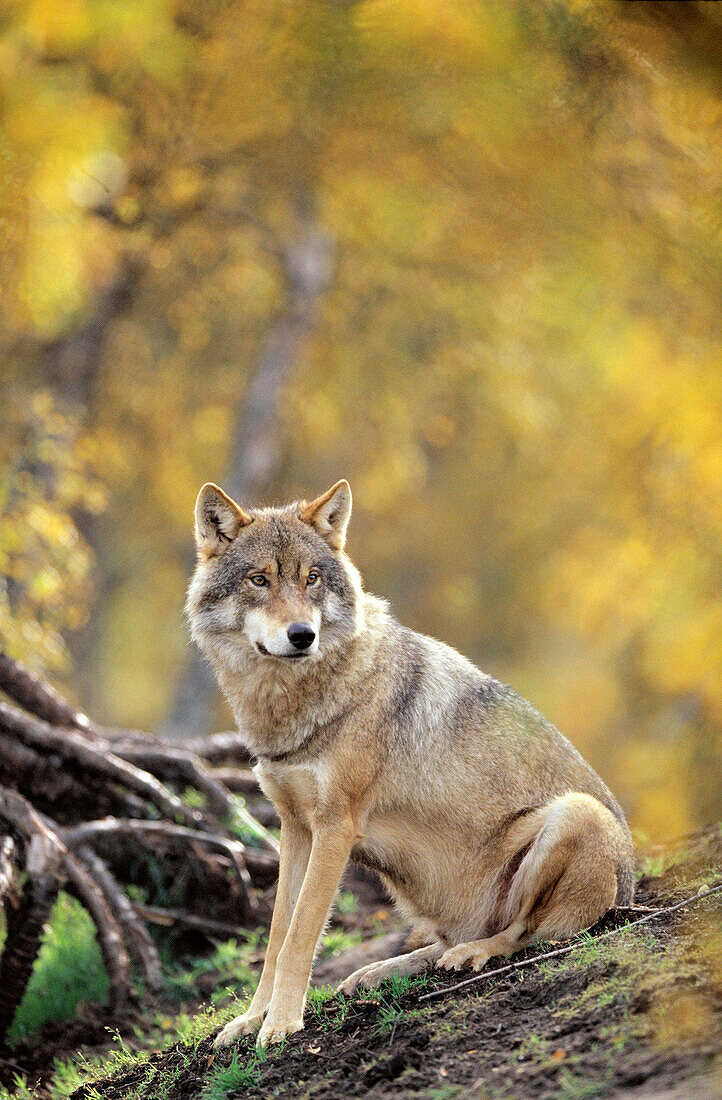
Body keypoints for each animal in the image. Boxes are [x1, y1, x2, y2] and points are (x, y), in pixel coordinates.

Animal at [186, 479, 633, 1047]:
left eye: (311, 579)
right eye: (259, 580)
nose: (303, 635)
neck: (294, 706)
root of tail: (629, 888)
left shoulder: (335, 827)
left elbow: (300, 936)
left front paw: (282, 1024)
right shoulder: (295, 827)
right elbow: (276, 934)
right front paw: (250, 1019)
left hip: (573, 815)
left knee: (520, 933)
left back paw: (472, 953)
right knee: (444, 940)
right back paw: (377, 972)